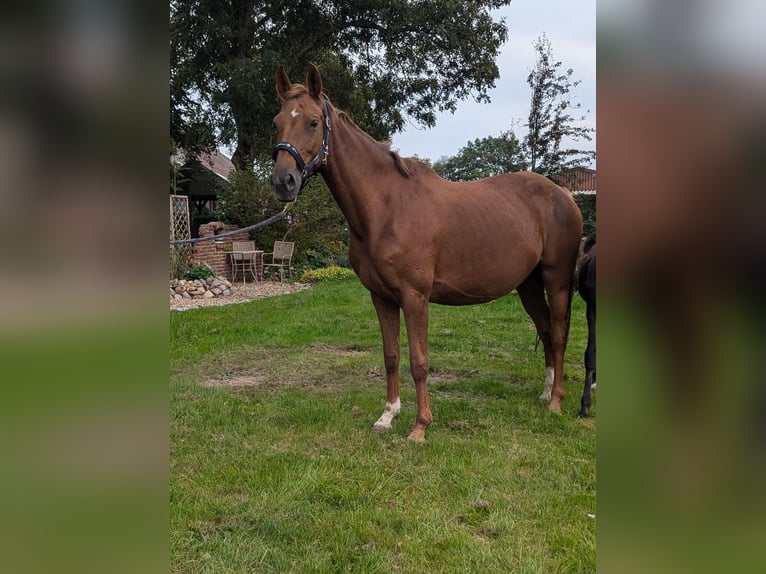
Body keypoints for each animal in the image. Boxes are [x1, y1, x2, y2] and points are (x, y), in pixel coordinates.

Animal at [272, 64, 584, 440]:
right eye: (276, 121)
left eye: (313, 122)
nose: (283, 182)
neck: (387, 208)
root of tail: (564, 194)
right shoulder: (381, 297)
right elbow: (391, 356)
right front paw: (387, 416)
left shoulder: (415, 297)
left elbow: (419, 362)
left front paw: (420, 427)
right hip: (528, 285)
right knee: (547, 331)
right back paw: (544, 393)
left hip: (557, 280)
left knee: (560, 333)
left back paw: (556, 402)